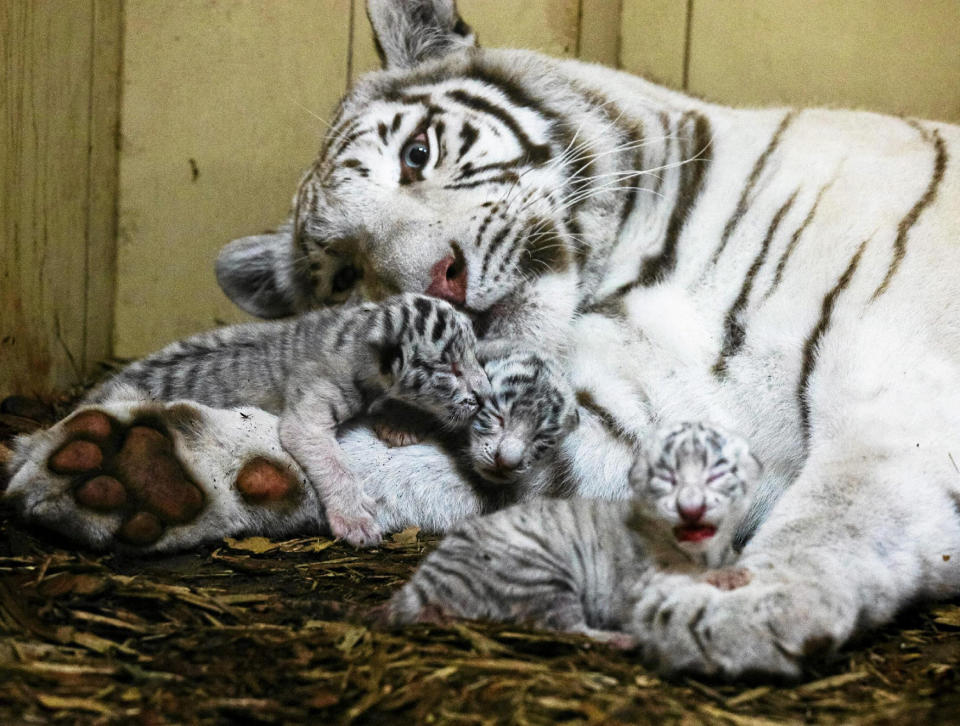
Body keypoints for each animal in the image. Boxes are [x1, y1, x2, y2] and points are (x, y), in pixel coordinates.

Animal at [7, 0, 960, 684]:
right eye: (344, 274)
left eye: (419, 153)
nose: (442, 280)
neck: (629, 274)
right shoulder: (629, 423)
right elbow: (396, 460)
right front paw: (137, 465)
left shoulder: (896, 379)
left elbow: (843, 500)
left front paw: (734, 605)